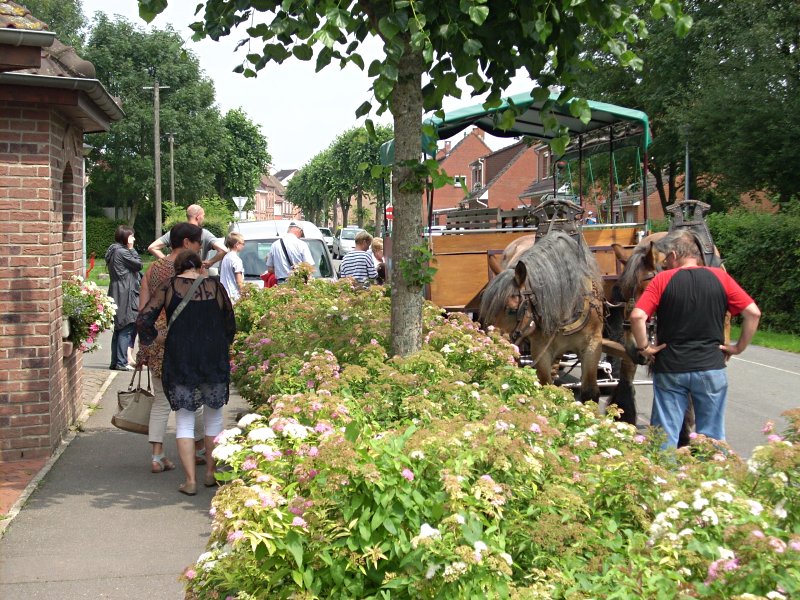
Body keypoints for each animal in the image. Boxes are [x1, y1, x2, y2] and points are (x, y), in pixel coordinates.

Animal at [478, 230, 604, 404]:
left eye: (512, 310)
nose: (492, 348)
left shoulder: (593, 344)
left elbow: (589, 392)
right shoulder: (540, 347)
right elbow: (545, 385)